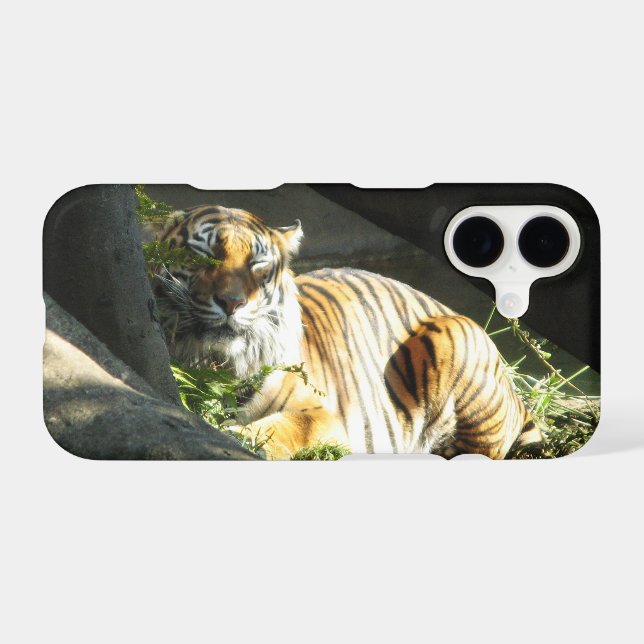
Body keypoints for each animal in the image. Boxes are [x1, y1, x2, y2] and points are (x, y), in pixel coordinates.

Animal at [147, 204, 542, 460]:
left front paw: (237, 436)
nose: (232, 302)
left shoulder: (323, 414)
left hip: (455, 340)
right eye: (204, 255)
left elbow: (284, 428)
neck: (217, 365)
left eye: (257, 263)